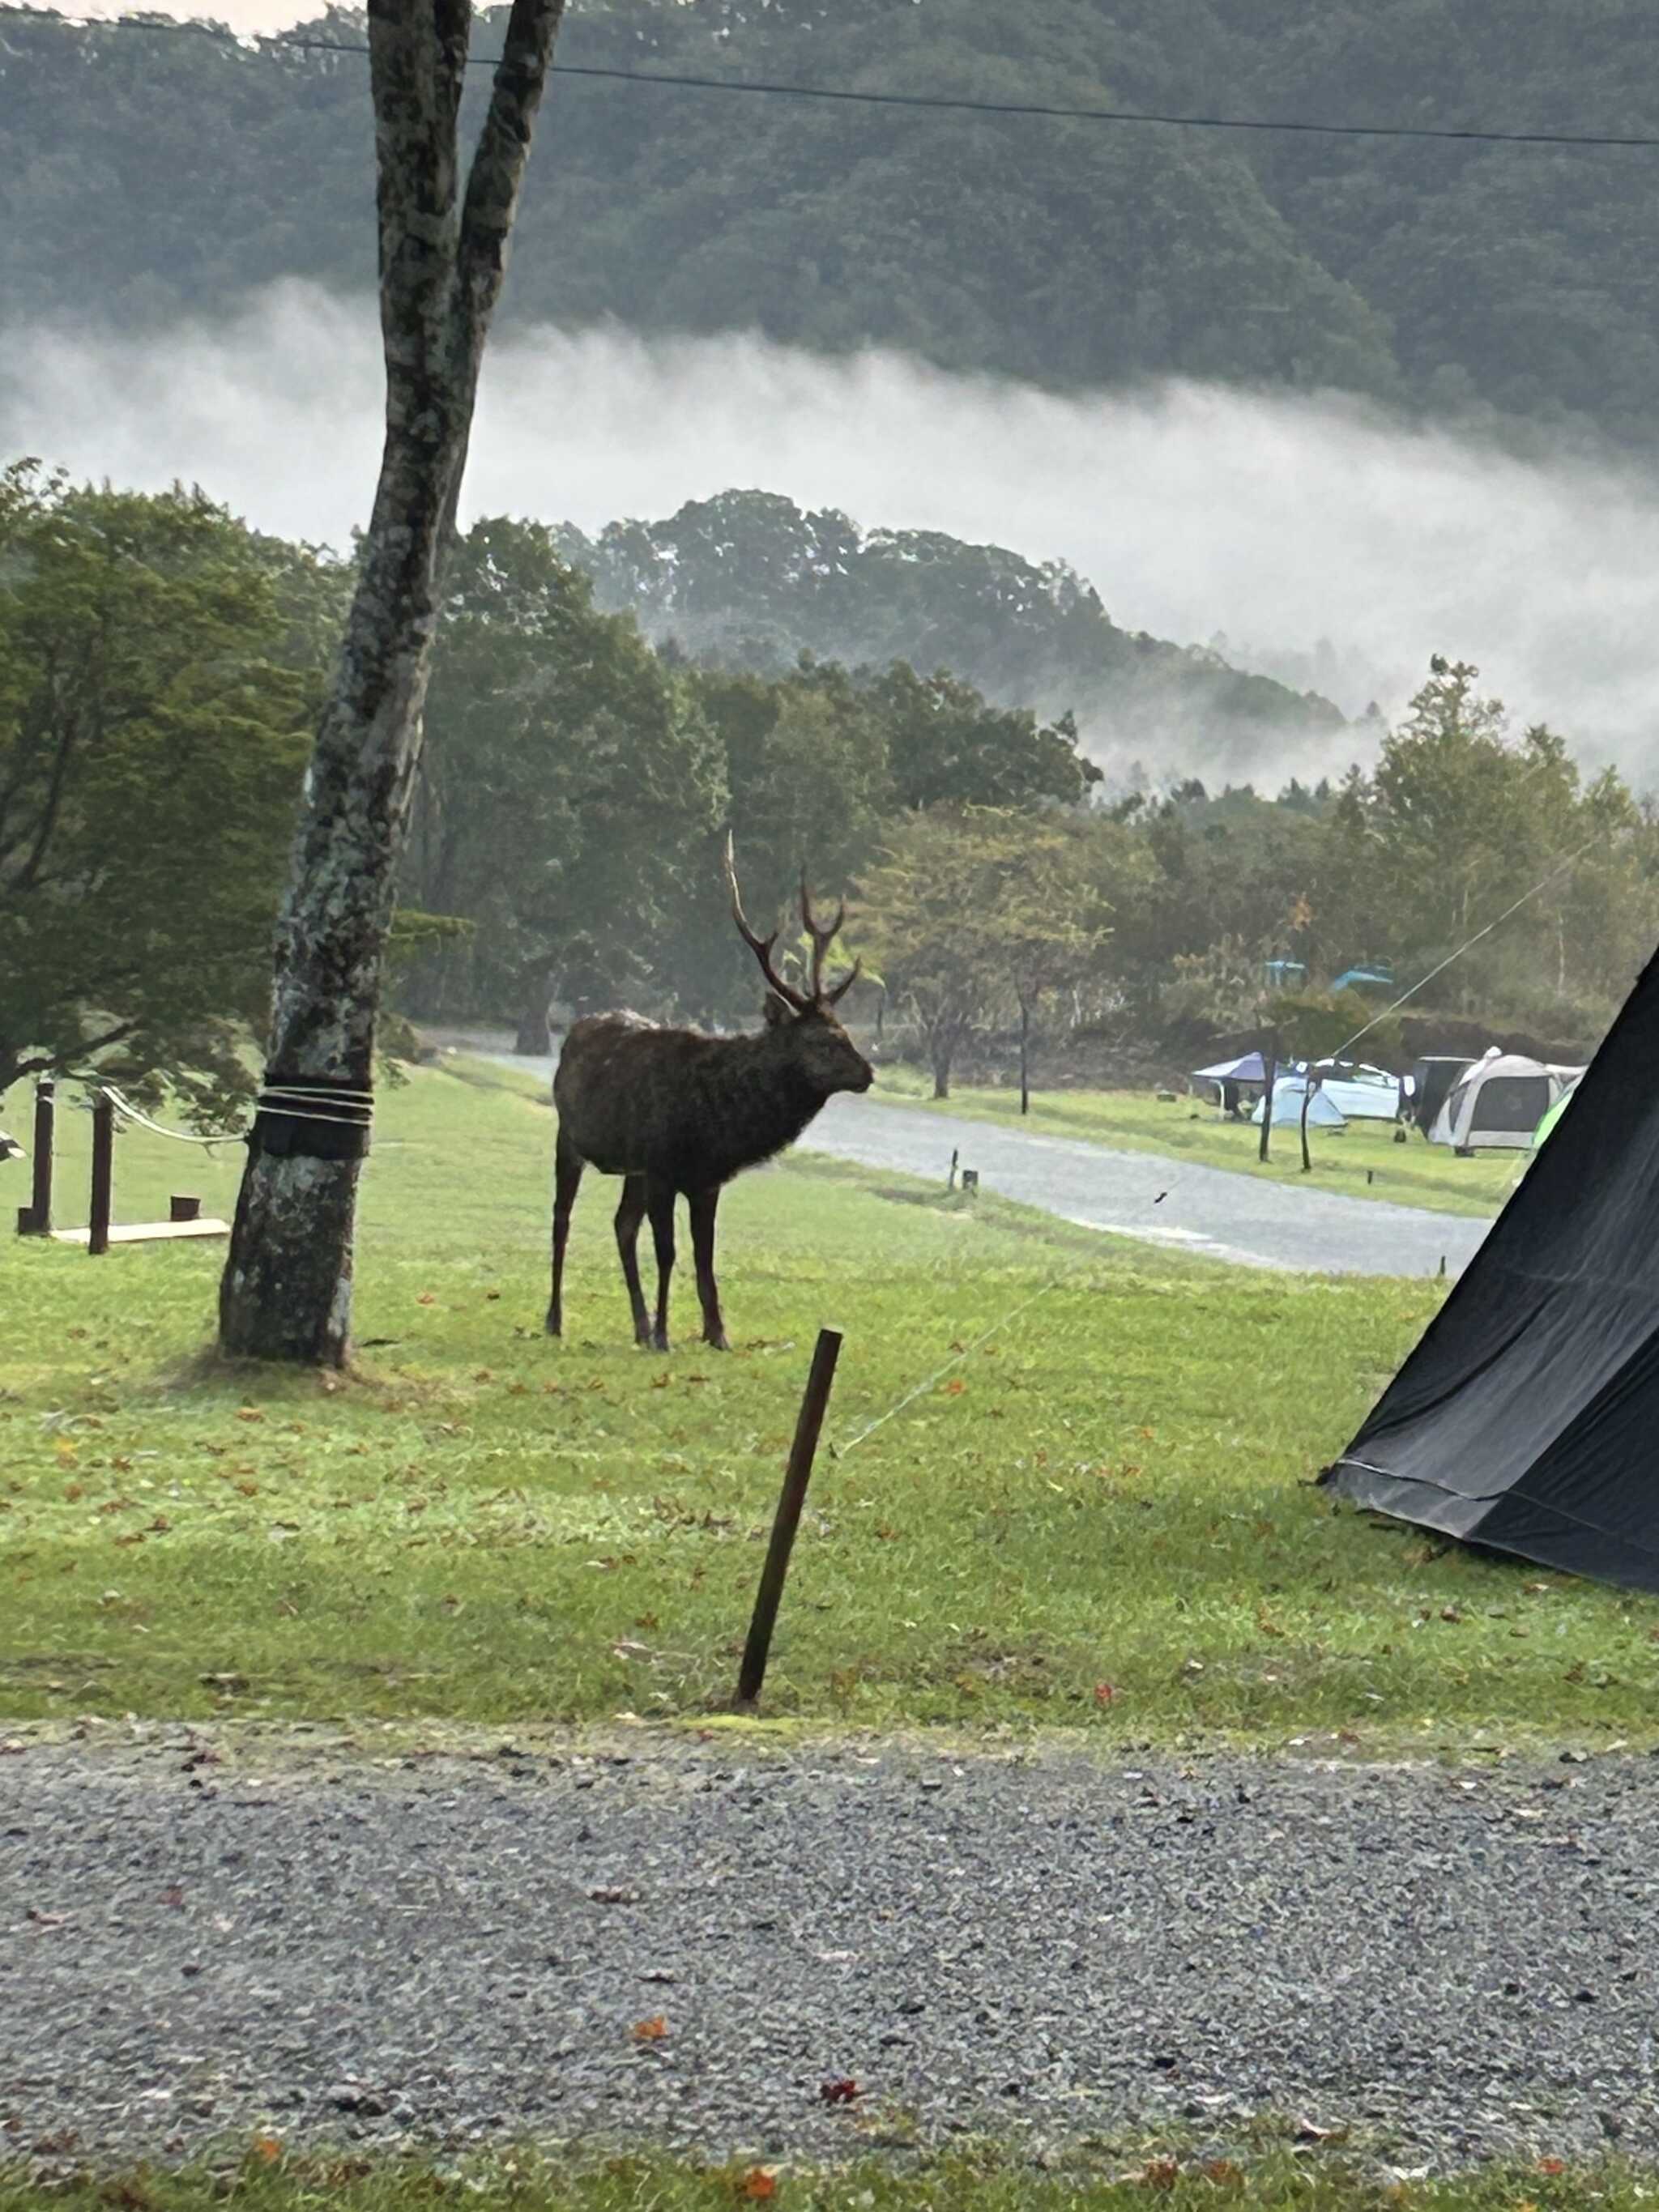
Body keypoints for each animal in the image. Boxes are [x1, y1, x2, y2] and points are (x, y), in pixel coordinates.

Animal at [547, 837, 873, 1351]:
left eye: (845, 1032)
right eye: (821, 1040)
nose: (868, 1072)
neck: (713, 1127)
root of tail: (575, 1029)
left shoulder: (704, 1181)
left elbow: (705, 1256)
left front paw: (716, 1333)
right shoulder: (663, 1169)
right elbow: (668, 1252)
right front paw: (666, 1335)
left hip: (631, 1167)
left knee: (622, 1225)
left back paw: (638, 1326)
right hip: (569, 1137)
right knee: (563, 1219)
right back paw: (556, 1319)